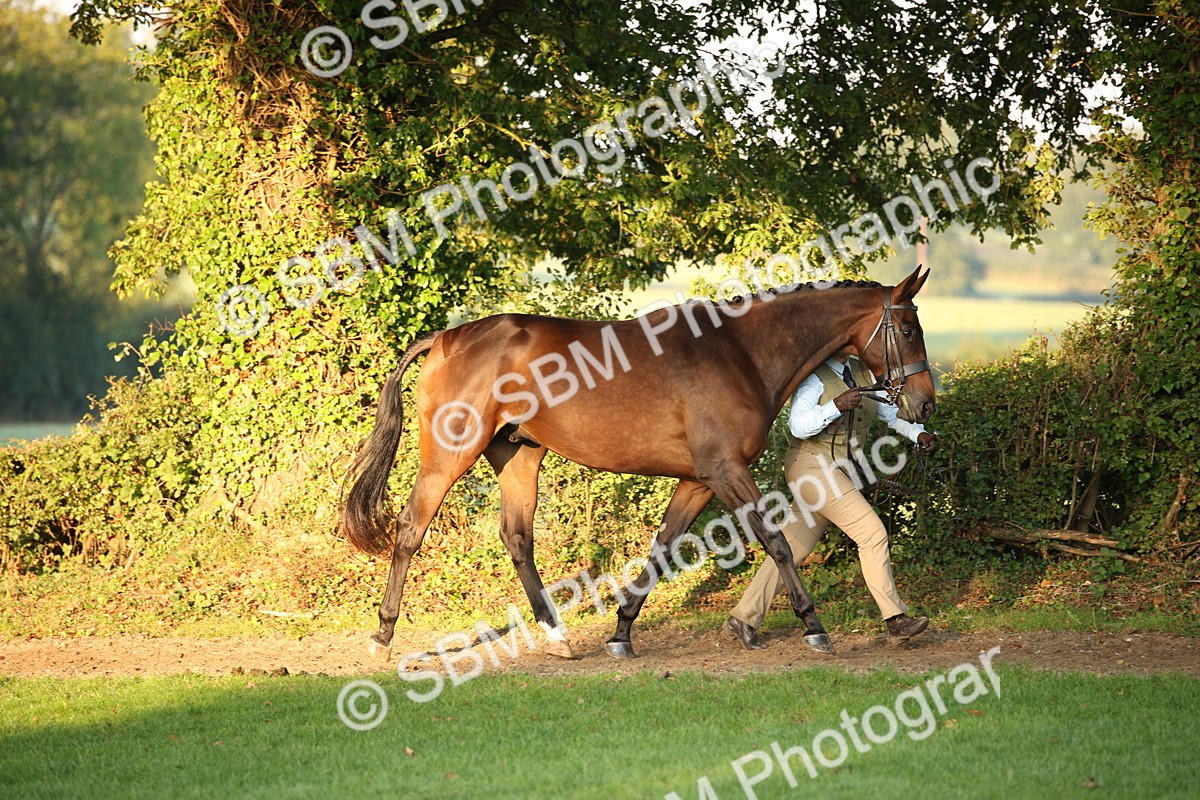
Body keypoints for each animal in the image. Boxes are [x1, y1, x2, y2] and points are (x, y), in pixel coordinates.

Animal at [340, 266, 935, 659]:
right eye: (909, 330)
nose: (925, 405)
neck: (740, 352)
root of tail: (448, 338)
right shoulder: (726, 472)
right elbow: (777, 542)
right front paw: (814, 627)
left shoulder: (698, 480)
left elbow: (662, 550)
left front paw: (620, 633)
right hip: (448, 457)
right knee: (410, 529)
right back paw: (382, 637)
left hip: (518, 454)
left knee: (517, 538)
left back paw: (558, 637)